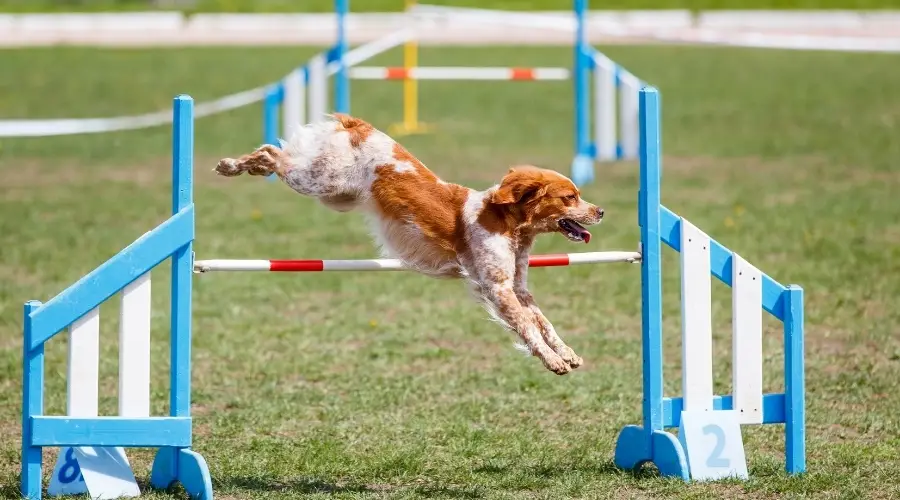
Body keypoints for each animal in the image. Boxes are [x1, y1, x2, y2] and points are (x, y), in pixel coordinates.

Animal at [214, 114, 600, 376]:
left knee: (275, 153)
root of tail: (360, 125)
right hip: (322, 181)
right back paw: (231, 165)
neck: (507, 223)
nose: (601, 211)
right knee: (273, 154)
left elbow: (543, 322)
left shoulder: (517, 286)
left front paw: (566, 352)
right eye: (570, 197)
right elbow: (528, 326)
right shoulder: (497, 288)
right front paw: (552, 360)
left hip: (337, 194)